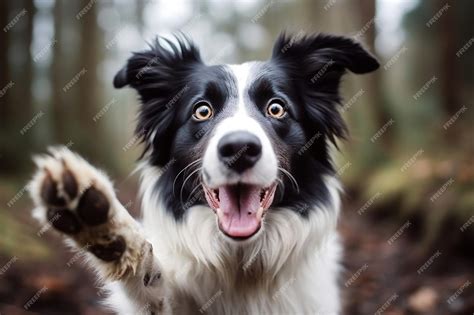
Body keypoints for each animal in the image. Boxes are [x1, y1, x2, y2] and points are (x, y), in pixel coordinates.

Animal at [28, 31, 378, 314]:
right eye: (202, 110)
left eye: (276, 108)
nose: (239, 148)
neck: (241, 264)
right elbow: (150, 279)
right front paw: (101, 223)